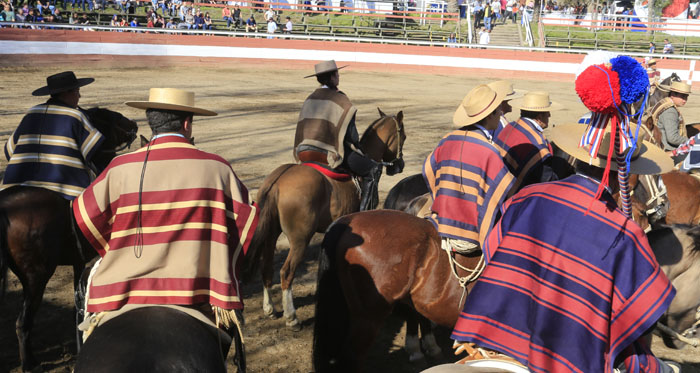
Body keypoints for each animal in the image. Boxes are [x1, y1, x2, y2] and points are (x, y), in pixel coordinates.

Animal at [0, 107, 137, 370]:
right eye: (111, 117)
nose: (134, 124)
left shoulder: (78, 262)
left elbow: (79, 298)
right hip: (37, 277)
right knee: (23, 322)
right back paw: (29, 363)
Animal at [242, 107, 404, 328]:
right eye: (403, 134)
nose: (400, 165)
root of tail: (279, 180)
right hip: (300, 240)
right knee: (286, 272)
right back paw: (291, 317)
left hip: (271, 235)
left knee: (266, 268)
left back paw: (270, 309)